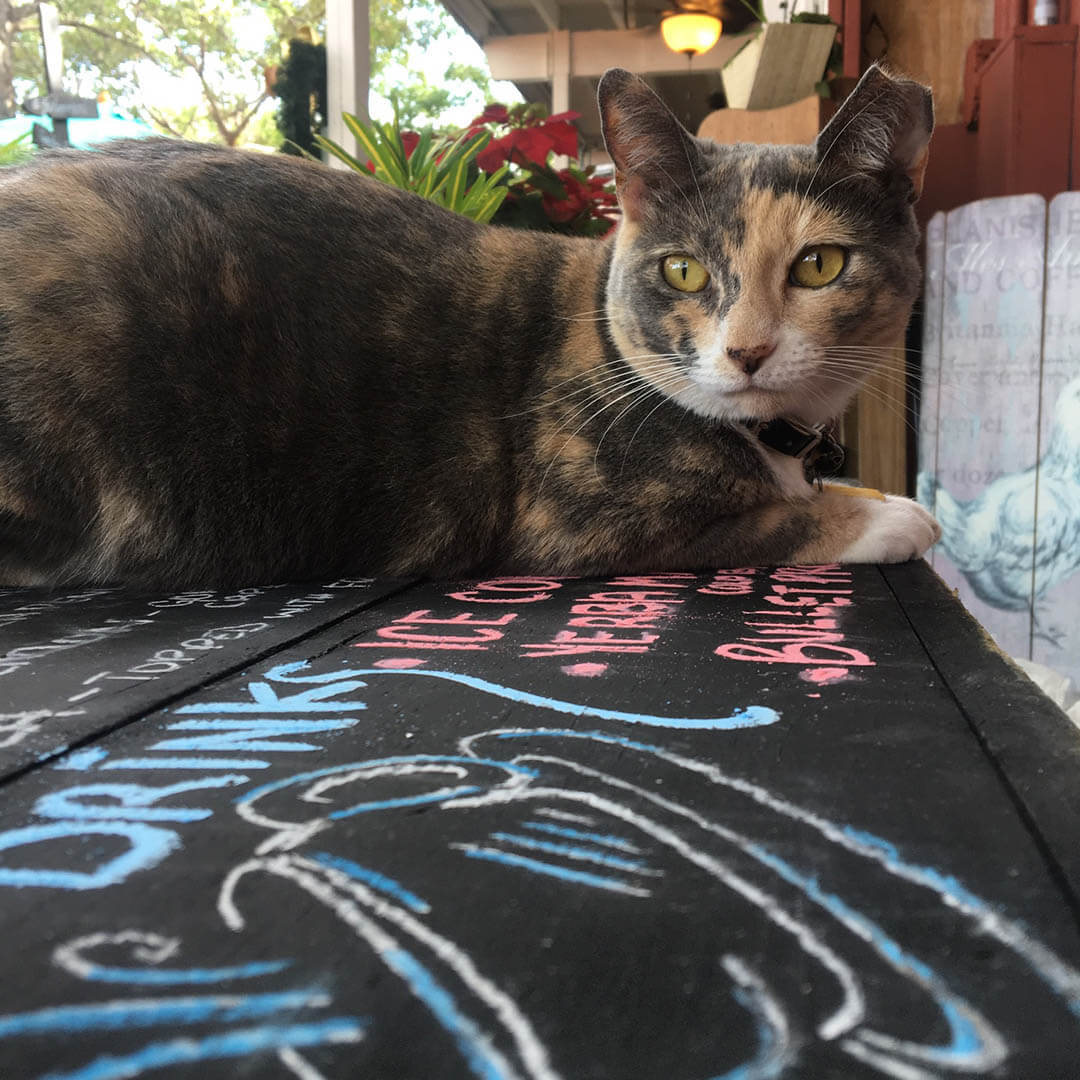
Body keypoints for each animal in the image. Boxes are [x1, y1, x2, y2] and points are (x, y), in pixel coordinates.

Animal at [0, 63, 939, 588]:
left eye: (819, 265)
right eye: (684, 271)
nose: (747, 351)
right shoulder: (575, 523)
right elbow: (766, 522)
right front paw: (892, 516)